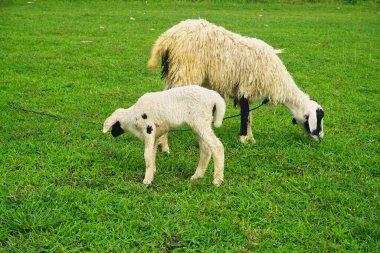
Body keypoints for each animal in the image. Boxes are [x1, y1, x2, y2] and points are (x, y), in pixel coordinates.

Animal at [147, 19, 326, 148]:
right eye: (319, 117)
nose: (320, 138)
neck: (278, 81)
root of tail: (168, 36)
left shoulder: (243, 92)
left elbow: (248, 117)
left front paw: (249, 138)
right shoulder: (247, 89)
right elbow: (246, 116)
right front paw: (246, 139)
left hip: (173, 74)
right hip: (186, 72)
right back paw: (164, 146)